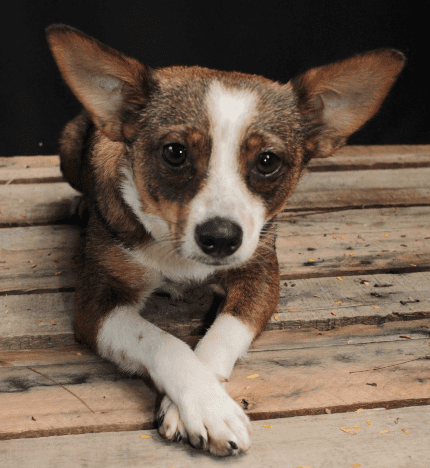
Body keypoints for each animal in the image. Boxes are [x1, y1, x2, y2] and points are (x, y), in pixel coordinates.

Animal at [47, 23, 406, 456]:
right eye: (175, 152)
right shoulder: (97, 305)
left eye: (268, 161)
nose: (220, 239)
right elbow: (161, 340)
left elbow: (223, 332)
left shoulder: (260, 275)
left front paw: (196, 404)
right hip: (68, 145)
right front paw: (207, 405)